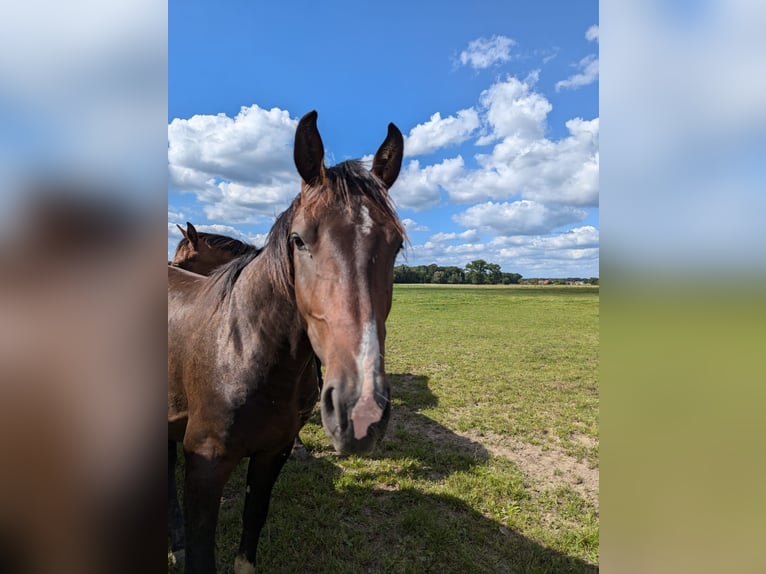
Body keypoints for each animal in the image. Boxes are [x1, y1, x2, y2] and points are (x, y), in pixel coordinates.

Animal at [170, 111, 408, 574]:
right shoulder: (204, 465)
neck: (242, 351)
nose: (361, 411)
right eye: (299, 240)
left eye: (396, 244)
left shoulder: (271, 455)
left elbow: (252, 525)